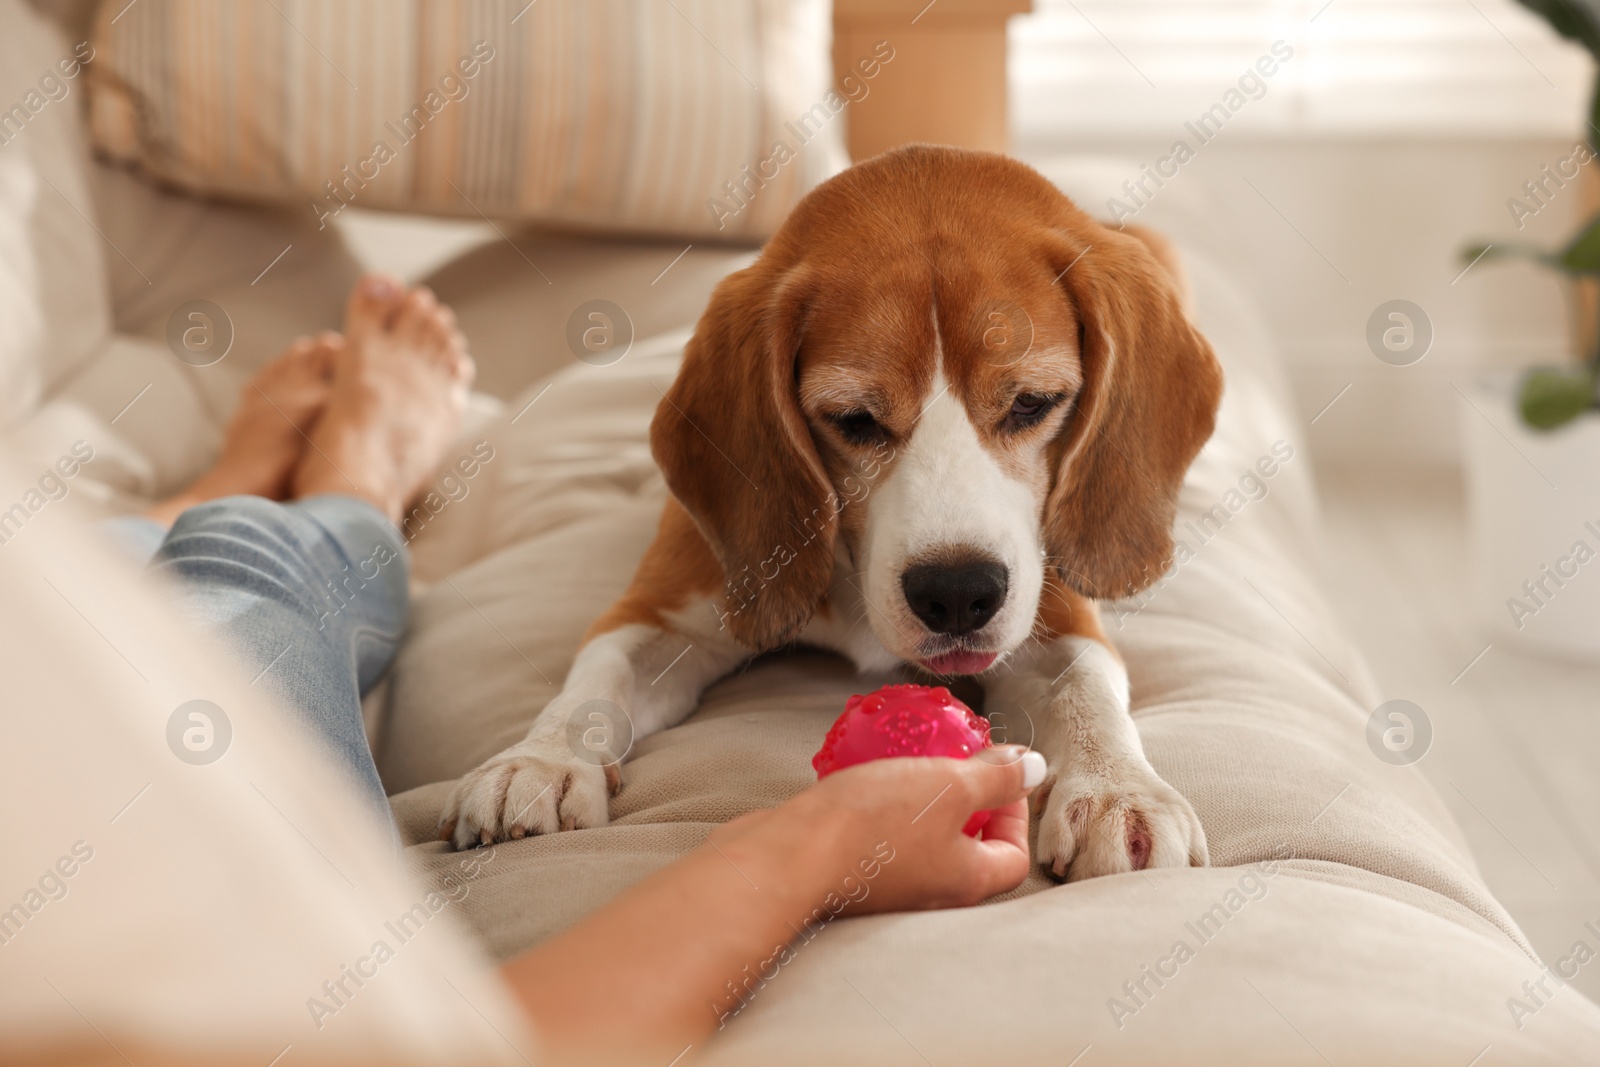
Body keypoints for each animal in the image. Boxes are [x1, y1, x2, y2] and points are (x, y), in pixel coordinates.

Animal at [441, 146, 1222, 883]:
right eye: (854, 419)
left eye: (1032, 403)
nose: (957, 593)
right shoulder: (666, 606)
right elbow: (599, 674)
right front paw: (538, 759)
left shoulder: (1054, 609)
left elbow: (1086, 687)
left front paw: (1119, 790)